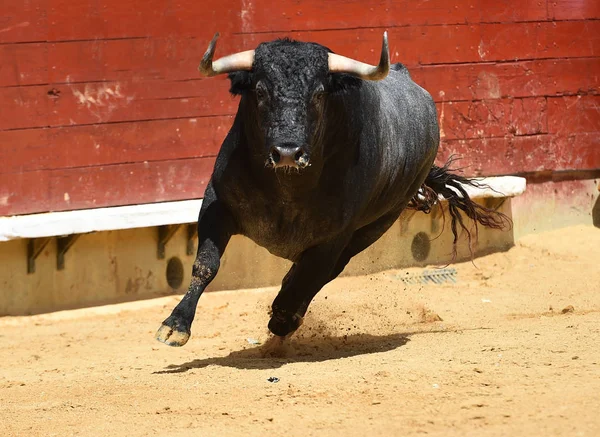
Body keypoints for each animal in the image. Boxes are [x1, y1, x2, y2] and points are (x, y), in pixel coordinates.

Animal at [157, 32, 508, 346]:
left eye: (319, 94)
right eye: (259, 91)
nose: (287, 152)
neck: (286, 189)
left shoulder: (334, 236)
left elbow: (310, 277)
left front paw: (282, 319)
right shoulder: (216, 202)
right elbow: (206, 264)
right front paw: (175, 326)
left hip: (374, 227)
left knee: (324, 273)